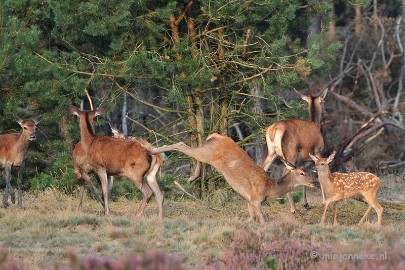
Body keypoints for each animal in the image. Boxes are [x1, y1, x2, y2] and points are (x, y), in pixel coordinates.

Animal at [150, 133, 314, 224]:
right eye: (302, 173)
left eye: (308, 171)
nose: (313, 183)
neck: (269, 189)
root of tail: (217, 136)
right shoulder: (255, 199)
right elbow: (262, 221)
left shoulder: (249, 201)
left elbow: (250, 219)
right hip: (207, 153)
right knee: (181, 144)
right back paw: (154, 150)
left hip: (205, 150)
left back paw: (192, 176)